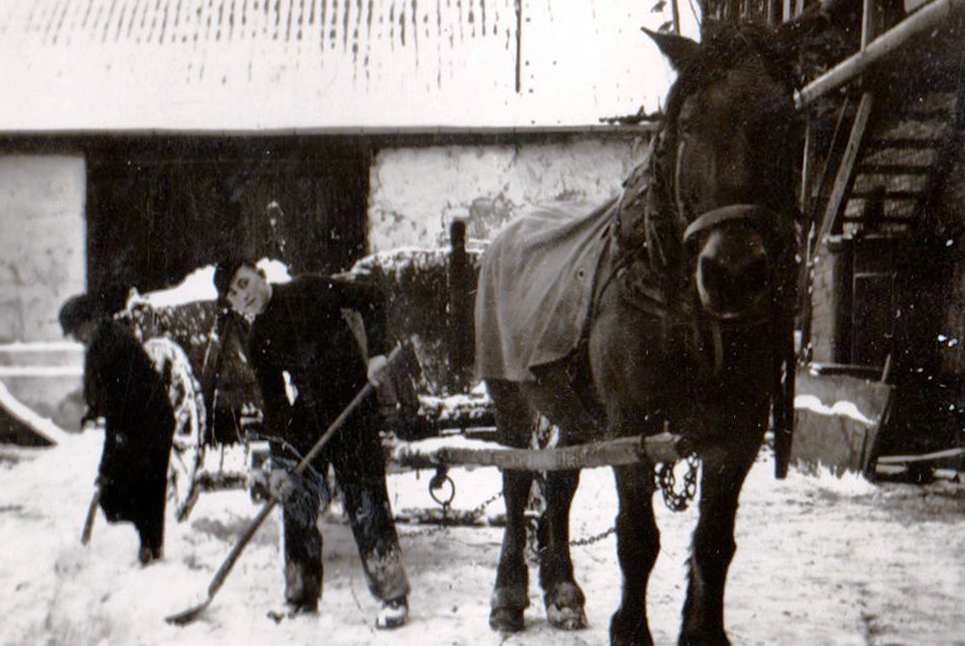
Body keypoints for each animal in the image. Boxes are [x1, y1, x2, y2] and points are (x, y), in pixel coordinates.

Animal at [472, 22, 800, 644]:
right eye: (689, 123)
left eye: (783, 118)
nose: (733, 274)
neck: (685, 311)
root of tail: (504, 234)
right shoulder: (632, 429)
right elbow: (637, 540)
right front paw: (630, 630)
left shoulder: (739, 437)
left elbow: (714, 543)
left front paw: (704, 633)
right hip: (509, 399)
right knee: (515, 486)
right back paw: (507, 595)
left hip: (576, 415)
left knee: (560, 486)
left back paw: (562, 592)